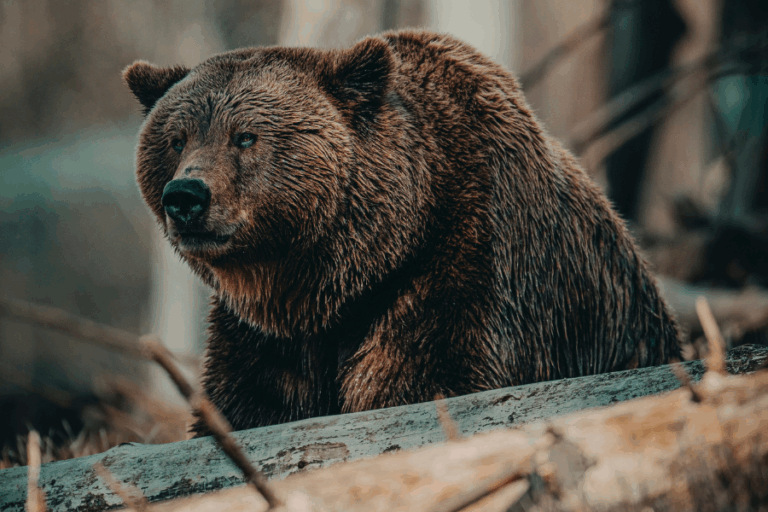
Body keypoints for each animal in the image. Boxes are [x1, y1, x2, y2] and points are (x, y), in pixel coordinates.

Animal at [123, 29, 681, 434]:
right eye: (176, 139)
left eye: (245, 136)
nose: (186, 197)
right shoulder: (266, 337)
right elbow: (248, 403)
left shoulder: (467, 266)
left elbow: (427, 378)